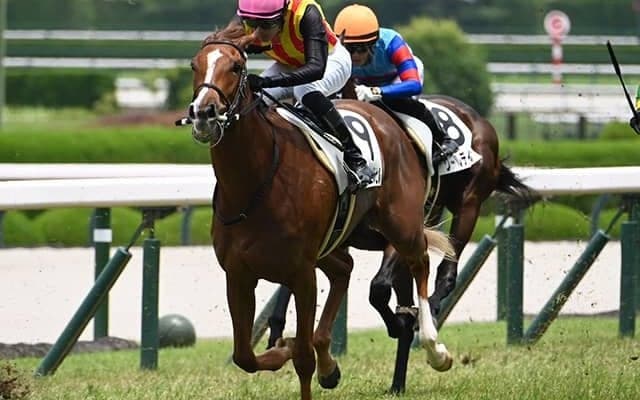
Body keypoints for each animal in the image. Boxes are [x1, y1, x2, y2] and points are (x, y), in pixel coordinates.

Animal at [183, 25, 455, 400]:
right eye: (195, 65)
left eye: (237, 67)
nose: (203, 114)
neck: (254, 182)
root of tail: (385, 118)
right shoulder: (238, 274)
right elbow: (244, 356)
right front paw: (284, 349)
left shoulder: (301, 273)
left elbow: (302, 358)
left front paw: (296, 351)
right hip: (337, 241)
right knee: (344, 269)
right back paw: (330, 364)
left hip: (400, 224)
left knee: (420, 263)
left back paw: (434, 347)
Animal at [265, 88, 537, 393]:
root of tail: (479, 120)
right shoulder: (328, 236)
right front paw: (277, 331)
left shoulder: (395, 236)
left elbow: (378, 289)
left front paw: (400, 324)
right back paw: (398, 381)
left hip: (468, 206)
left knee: (446, 273)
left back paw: (428, 316)